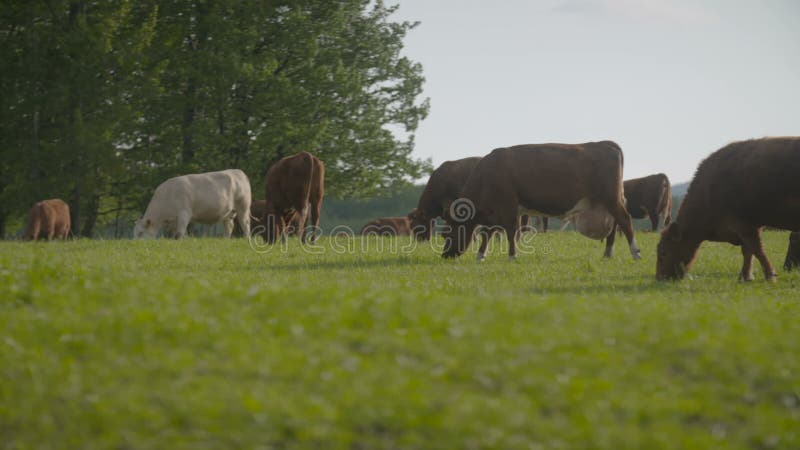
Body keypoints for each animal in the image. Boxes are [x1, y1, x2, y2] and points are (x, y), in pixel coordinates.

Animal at [440, 141, 640, 260]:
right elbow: (488, 232)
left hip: (611, 198)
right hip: (608, 202)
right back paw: (608, 253)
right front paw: (481, 255)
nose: (445, 255)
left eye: (446, 232)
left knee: (625, 220)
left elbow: (510, 231)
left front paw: (512, 256)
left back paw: (635, 253)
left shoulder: (508, 206)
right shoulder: (495, 211)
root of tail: (605, 143)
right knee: (615, 225)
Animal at [656, 137, 800, 282]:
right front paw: (745, 276)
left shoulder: (745, 225)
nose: (659, 278)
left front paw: (769, 275)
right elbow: (748, 251)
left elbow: (757, 249)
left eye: (663, 253)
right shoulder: (749, 227)